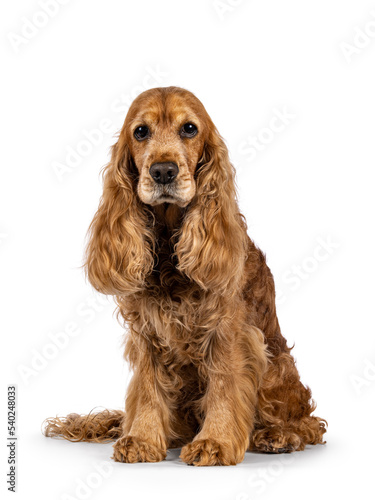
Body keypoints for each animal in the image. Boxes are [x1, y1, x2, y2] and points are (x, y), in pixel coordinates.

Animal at [43, 86, 326, 464]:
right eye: (141, 132)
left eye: (189, 129)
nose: (163, 171)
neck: (169, 238)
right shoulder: (146, 332)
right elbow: (148, 388)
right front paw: (141, 438)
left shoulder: (228, 328)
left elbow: (224, 383)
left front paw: (214, 442)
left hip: (276, 364)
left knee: (308, 423)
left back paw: (277, 435)